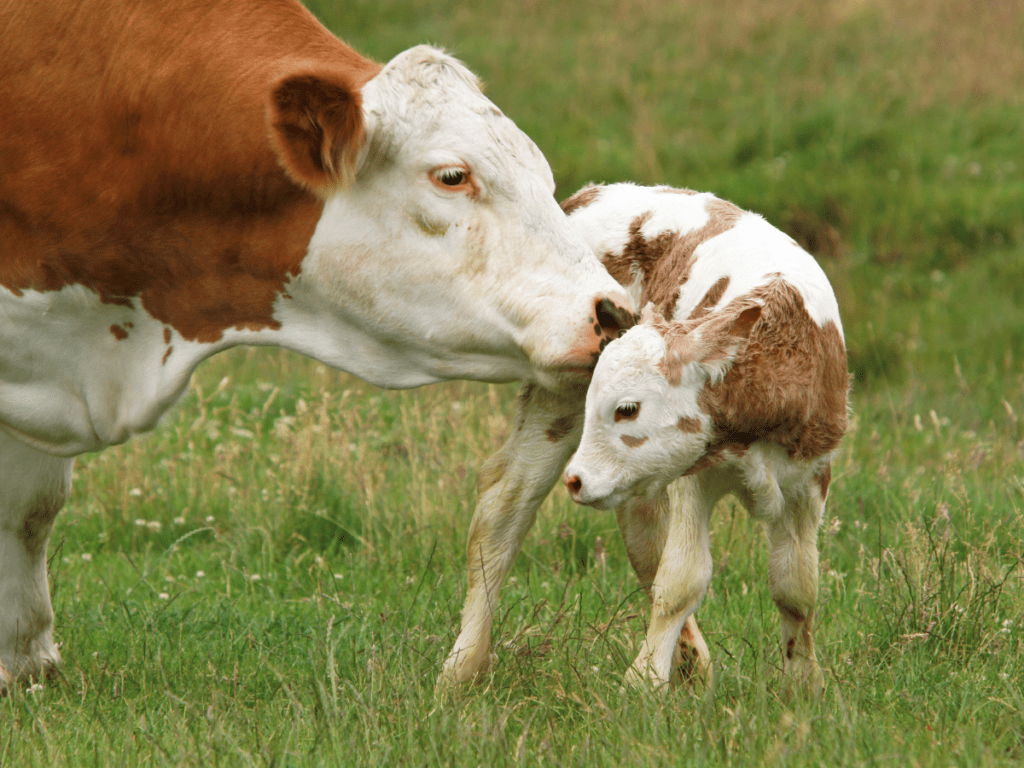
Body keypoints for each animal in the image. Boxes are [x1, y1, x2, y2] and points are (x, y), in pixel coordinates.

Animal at [440, 183, 847, 696]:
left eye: (627, 409)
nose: (576, 480)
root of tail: (590, 194)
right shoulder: (695, 476)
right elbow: (683, 579)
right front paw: (642, 684)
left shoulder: (810, 480)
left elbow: (796, 585)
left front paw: (803, 687)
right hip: (556, 397)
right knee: (505, 506)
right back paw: (462, 668)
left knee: (643, 533)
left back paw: (694, 668)